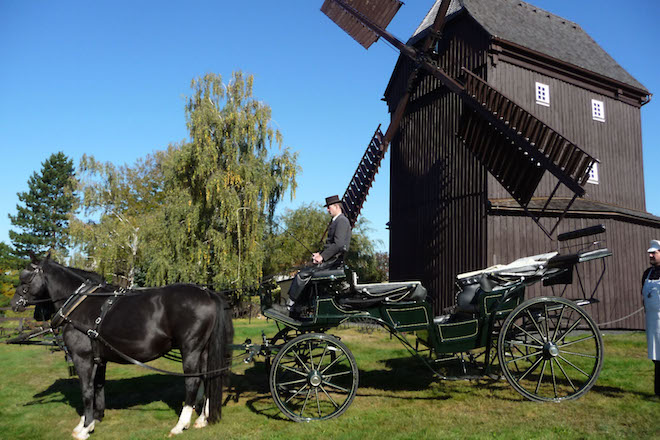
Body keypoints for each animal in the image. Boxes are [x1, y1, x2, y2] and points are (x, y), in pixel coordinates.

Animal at [10, 254, 233, 440]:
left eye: (25, 278)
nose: (13, 304)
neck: (80, 304)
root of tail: (207, 293)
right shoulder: (99, 359)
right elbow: (98, 387)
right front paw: (93, 420)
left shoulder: (83, 358)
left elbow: (86, 391)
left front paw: (84, 428)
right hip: (203, 350)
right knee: (208, 377)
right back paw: (202, 419)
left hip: (191, 349)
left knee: (193, 381)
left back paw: (181, 424)